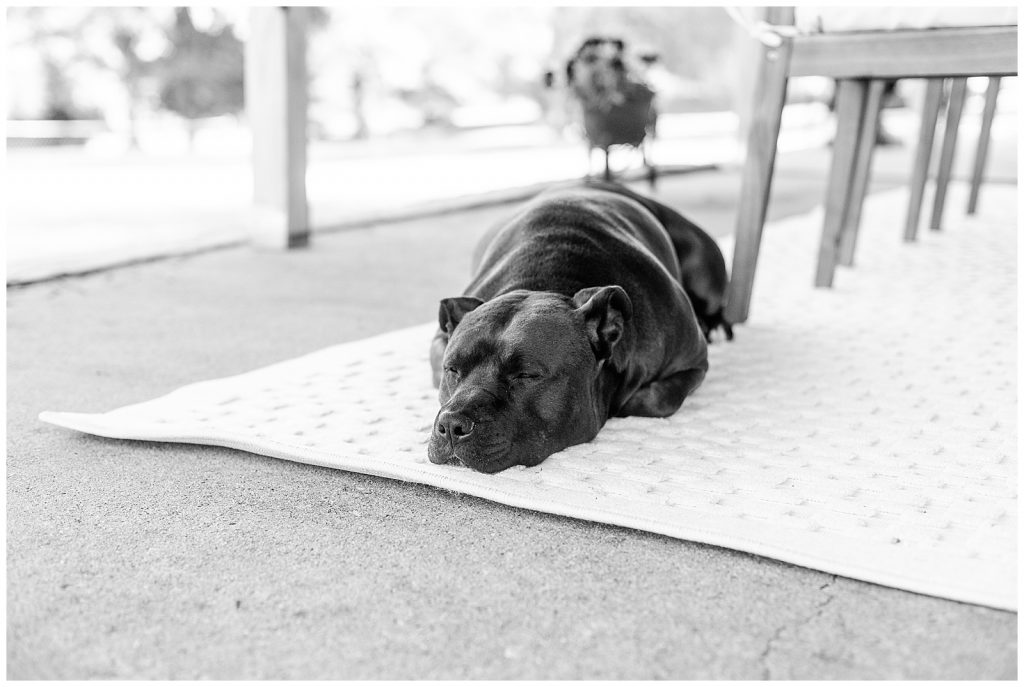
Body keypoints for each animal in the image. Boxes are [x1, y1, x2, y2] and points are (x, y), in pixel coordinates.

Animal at [427, 184, 715, 473]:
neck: (547, 283)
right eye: (452, 370)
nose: (451, 424)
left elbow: (659, 399)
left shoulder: (694, 362)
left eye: (526, 375)